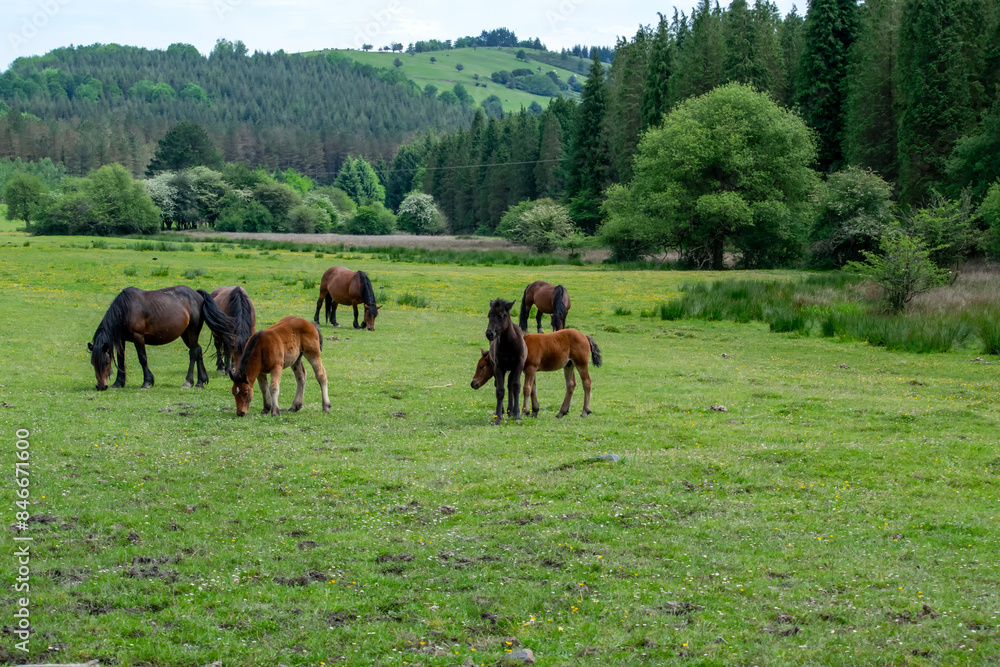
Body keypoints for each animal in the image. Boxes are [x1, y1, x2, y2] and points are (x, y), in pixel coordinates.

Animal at [88, 286, 235, 391]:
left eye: (106, 363)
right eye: (93, 363)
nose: (101, 386)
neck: (125, 309)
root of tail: (197, 294)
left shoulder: (138, 337)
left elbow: (142, 359)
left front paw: (147, 382)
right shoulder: (121, 339)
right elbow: (120, 360)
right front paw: (118, 382)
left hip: (192, 331)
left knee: (193, 352)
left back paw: (188, 382)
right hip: (185, 334)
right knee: (198, 350)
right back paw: (200, 381)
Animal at [471, 329, 602, 418]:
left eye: (481, 366)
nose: (473, 383)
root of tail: (584, 336)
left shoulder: (531, 368)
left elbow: (527, 388)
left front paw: (525, 410)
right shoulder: (530, 370)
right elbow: (533, 389)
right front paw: (534, 411)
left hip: (581, 364)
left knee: (587, 383)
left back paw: (585, 411)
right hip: (568, 365)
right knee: (571, 385)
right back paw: (561, 412)